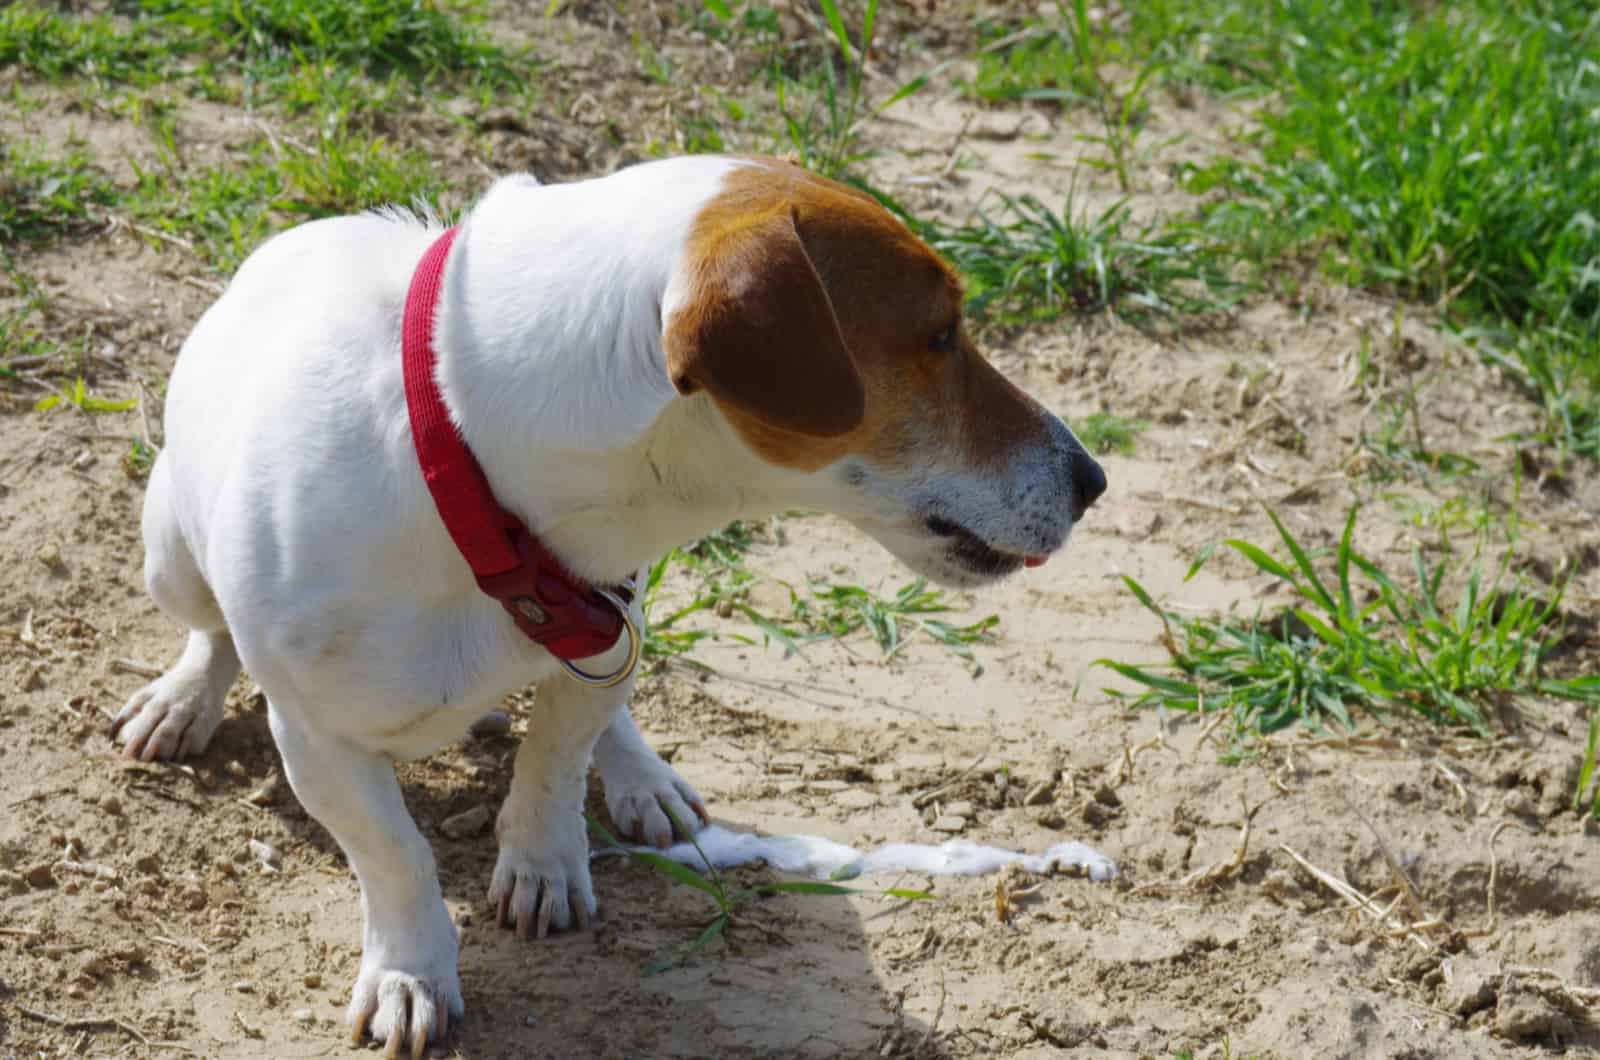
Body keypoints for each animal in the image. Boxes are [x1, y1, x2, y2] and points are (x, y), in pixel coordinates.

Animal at [112, 153, 1107, 1056]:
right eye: (939, 335)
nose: (1094, 480)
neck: (466, 465)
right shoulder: (317, 741)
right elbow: (395, 855)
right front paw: (409, 972)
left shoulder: (599, 621)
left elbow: (555, 756)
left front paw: (543, 862)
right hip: (168, 553)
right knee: (209, 629)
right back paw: (183, 699)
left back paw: (642, 776)